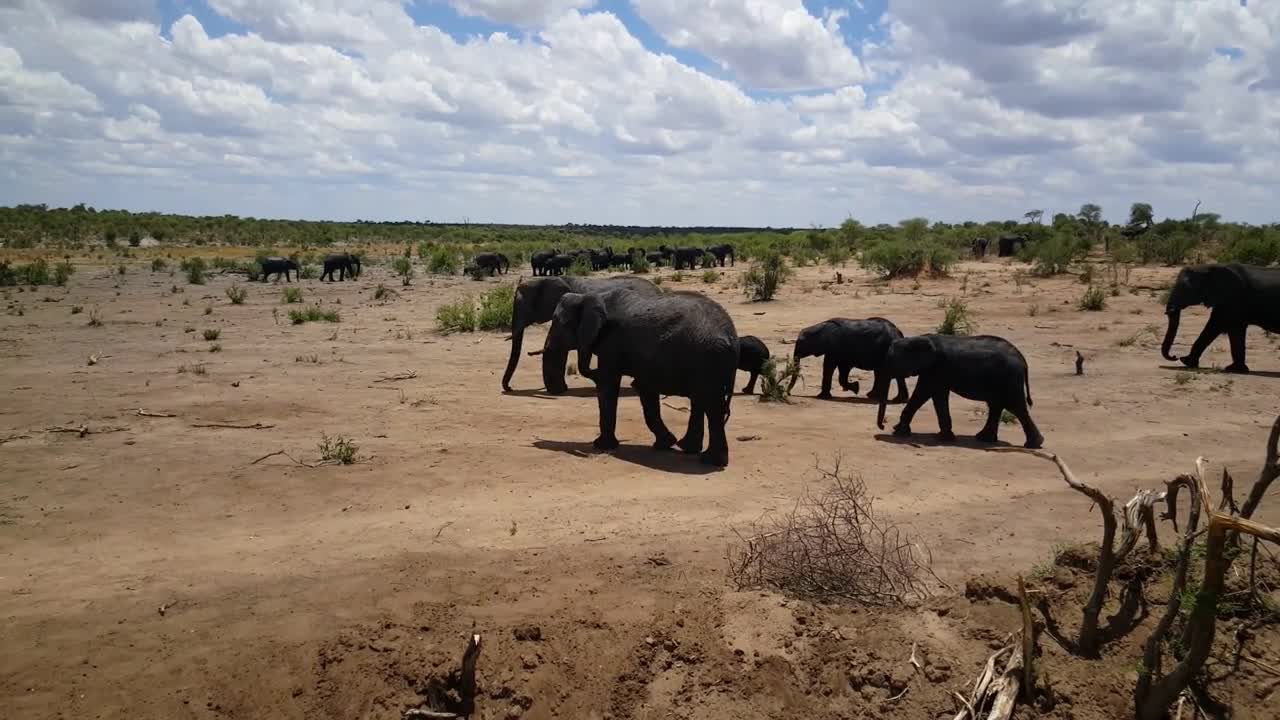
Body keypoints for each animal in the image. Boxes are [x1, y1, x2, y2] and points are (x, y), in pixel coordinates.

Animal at [547, 286, 742, 466]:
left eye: (558, 322)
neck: (589, 296)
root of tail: (732, 337)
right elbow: (645, 390)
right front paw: (665, 444)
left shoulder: (611, 342)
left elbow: (608, 384)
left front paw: (601, 445)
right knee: (702, 401)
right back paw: (690, 449)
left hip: (708, 360)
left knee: (711, 405)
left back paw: (711, 461)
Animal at [875, 333, 1044, 445]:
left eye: (891, 361)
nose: (883, 426)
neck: (917, 338)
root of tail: (1023, 360)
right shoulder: (935, 371)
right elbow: (938, 396)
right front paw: (945, 437)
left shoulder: (936, 368)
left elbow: (923, 394)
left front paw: (898, 432)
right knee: (997, 406)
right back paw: (984, 439)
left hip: (1010, 379)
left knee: (1015, 407)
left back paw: (1033, 444)